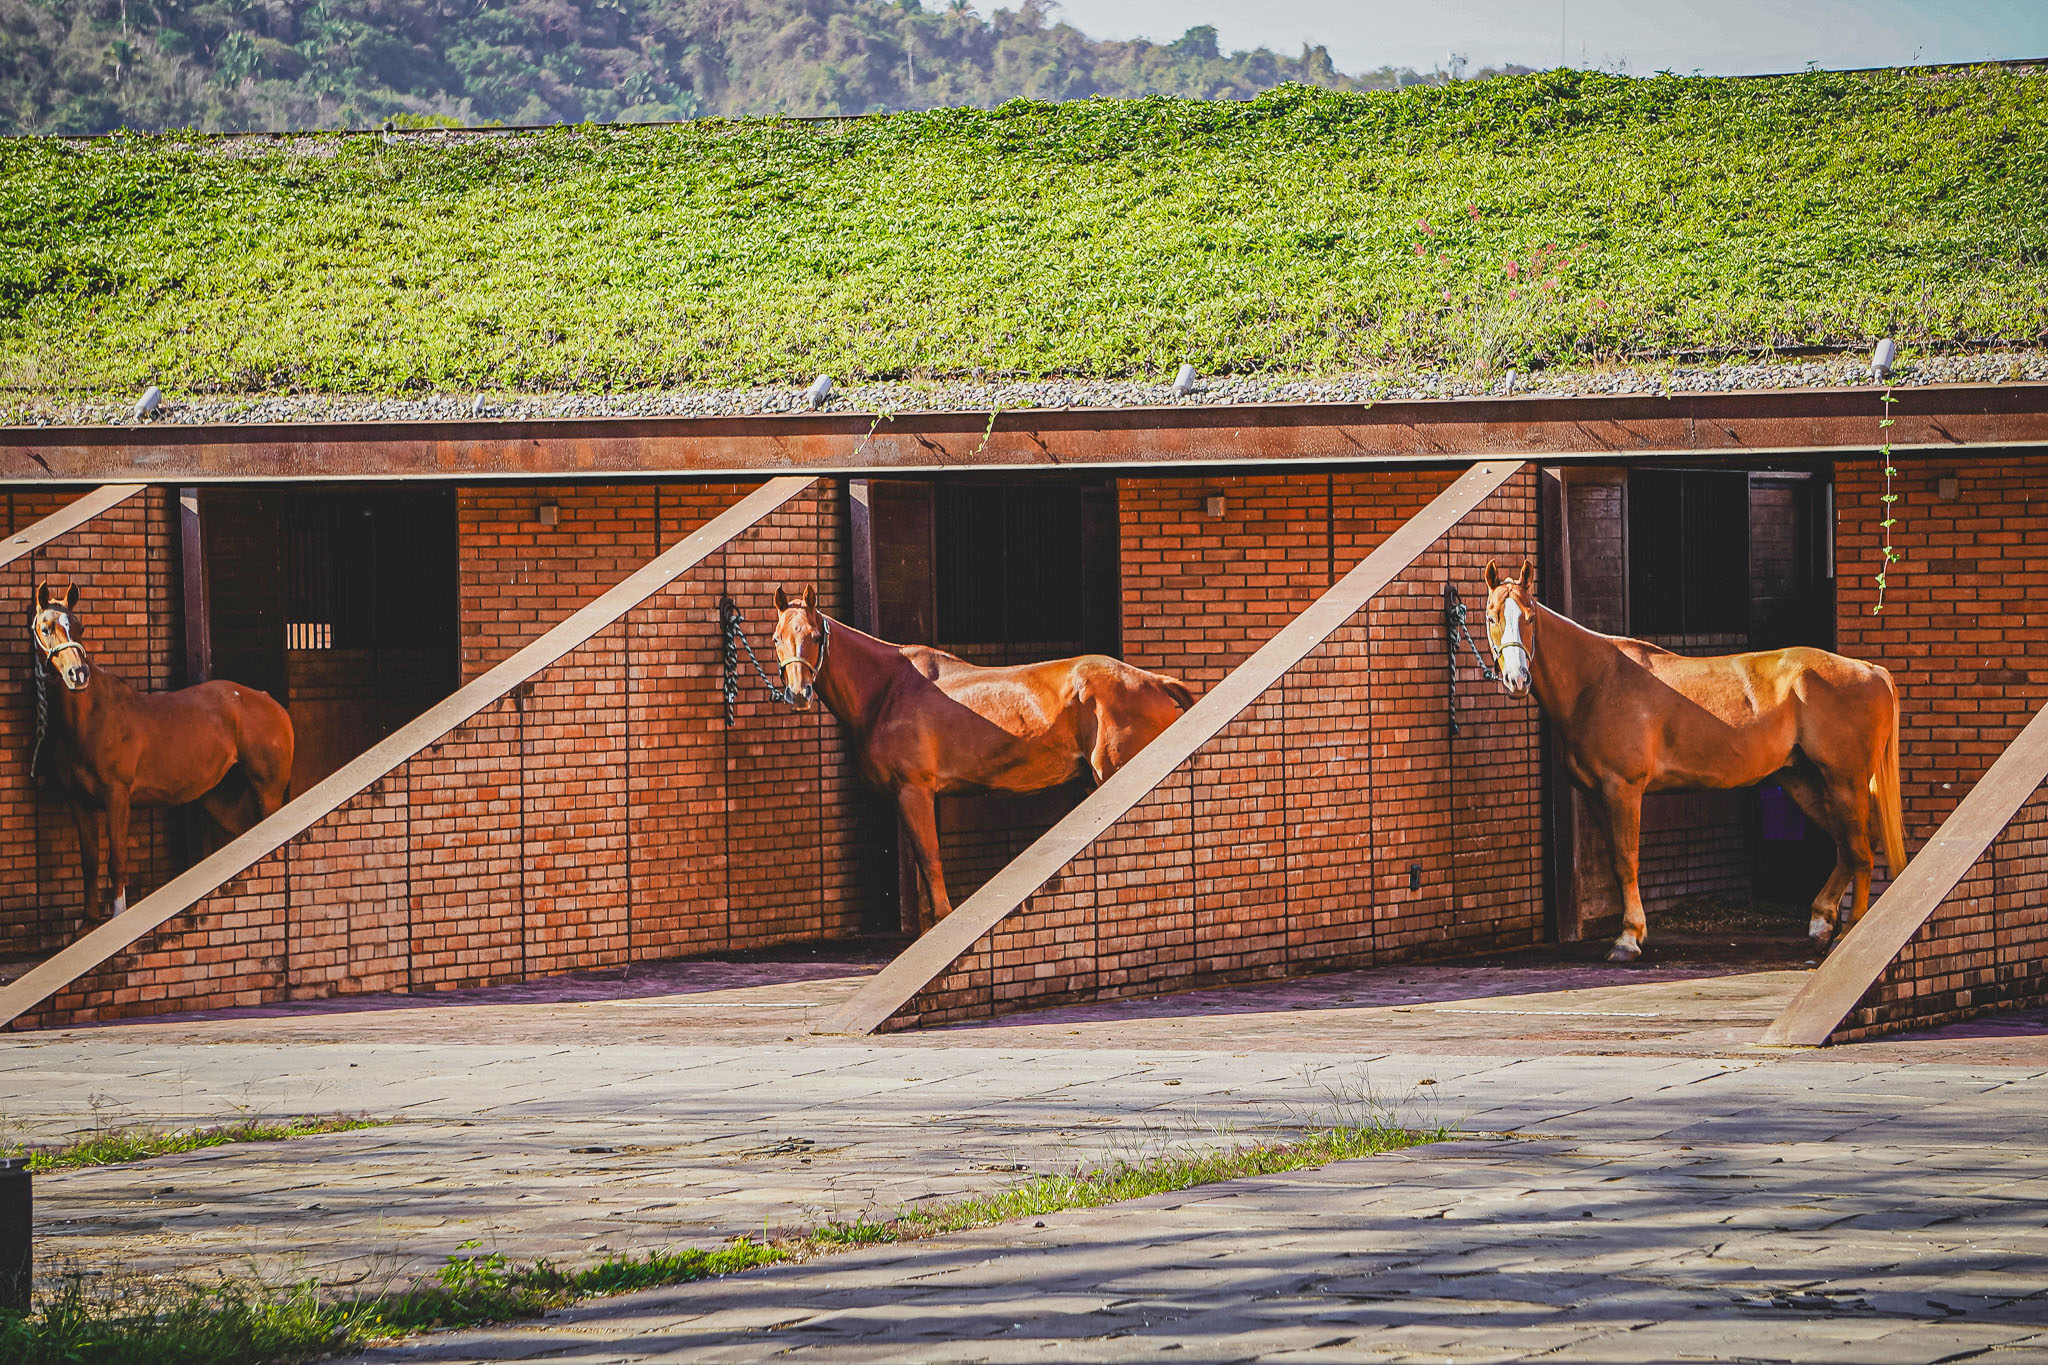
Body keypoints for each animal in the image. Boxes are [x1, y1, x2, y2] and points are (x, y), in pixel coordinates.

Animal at [29, 581, 296, 925]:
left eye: (79, 627)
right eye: (46, 628)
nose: (78, 674)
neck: (89, 718)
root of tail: (268, 700)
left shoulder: (117, 796)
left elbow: (117, 859)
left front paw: (119, 917)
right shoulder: (78, 801)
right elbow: (89, 862)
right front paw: (89, 925)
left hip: (268, 792)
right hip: (220, 797)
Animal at [770, 581, 1196, 933]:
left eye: (813, 636)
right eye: (777, 639)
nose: (798, 694)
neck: (889, 689)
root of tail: (1154, 681)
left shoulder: (915, 792)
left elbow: (930, 860)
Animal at [1490, 556, 1900, 961]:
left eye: (1530, 617)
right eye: (1492, 615)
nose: (1517, 679)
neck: (1596, 680)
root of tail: (1870, 669)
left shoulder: (1623, 790)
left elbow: (1626, 861)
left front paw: (1628, 938)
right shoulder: (1595, 795)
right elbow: (1614, 861)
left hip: (1845, 782)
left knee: (1861, 850)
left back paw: (1850, 932)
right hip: (1804, 781)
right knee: (1847, 846)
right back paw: (1821, 923)